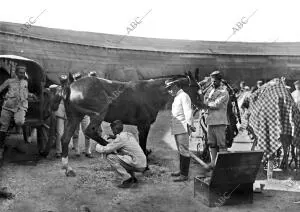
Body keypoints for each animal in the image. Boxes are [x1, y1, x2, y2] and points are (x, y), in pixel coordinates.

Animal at [52, 71, 202, 176]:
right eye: (195, 87)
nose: (202, 104)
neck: (150, 93)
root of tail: (70, 86)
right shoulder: (144, 125)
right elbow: (142, 146)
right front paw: (145, 167)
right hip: (97, 114)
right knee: (90, 131)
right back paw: (112, 149)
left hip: (74, 117)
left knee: (65, 138)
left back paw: (67, 168)